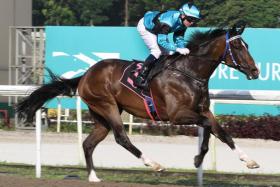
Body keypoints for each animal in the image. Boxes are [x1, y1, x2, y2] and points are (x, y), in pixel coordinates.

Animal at [16, 24, 260, 182]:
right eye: (238, 47)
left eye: (247, 45)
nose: (255, 71)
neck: (189, 73)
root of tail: (85, 75)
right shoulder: (177, 115)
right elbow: (208, 128)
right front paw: (198, 158)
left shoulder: (203, 110)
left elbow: (222, 133)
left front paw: (249, 161)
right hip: (107, 106)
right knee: (121, 137)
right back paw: (154, 164)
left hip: (100, 116)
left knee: (88, 143)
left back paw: (94, 177)